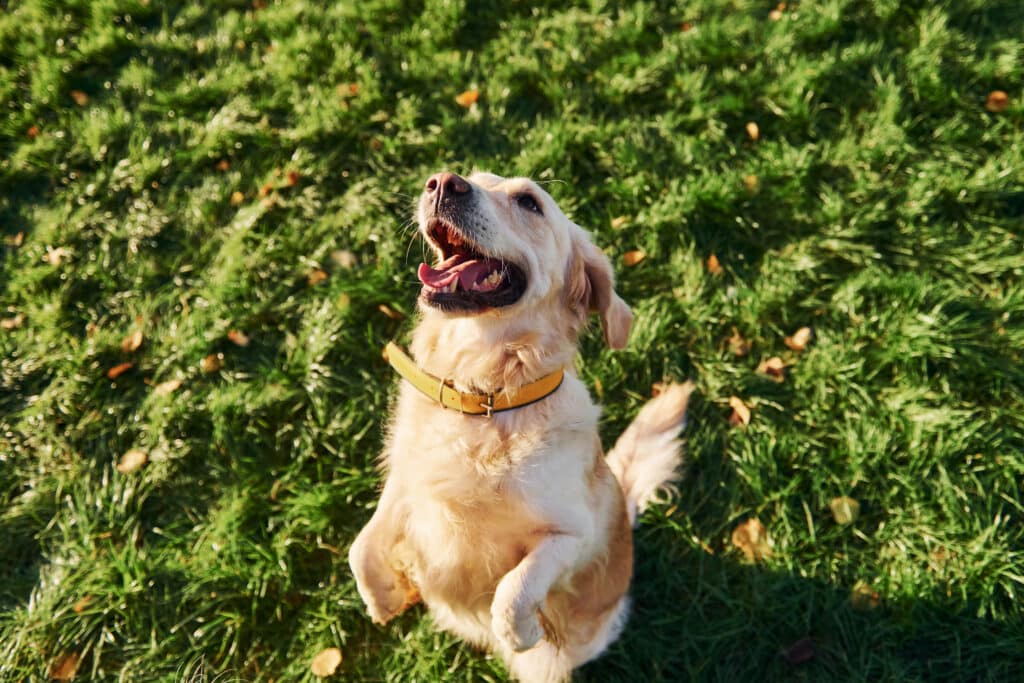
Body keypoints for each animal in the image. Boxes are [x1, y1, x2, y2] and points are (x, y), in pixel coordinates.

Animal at [348, 167, 692, 679]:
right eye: (471, 177)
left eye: (530, 202)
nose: (443, 183)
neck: (484, 399)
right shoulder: (406, 486)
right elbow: (362, 545)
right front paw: (385, 597)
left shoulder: (575, 535)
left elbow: (513, 591)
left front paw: (525, 632)